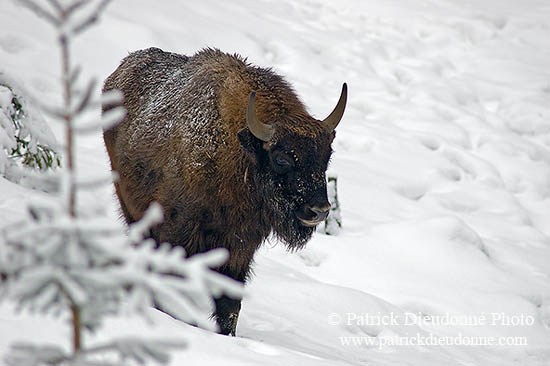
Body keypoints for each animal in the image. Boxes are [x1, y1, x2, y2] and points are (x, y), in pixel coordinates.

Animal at [101, 47, 348, 336]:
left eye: (326, 157)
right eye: (281, 159)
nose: (319, 210)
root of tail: (119, 71)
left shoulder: (239, 250)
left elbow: (230, 305)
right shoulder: (179, 233)